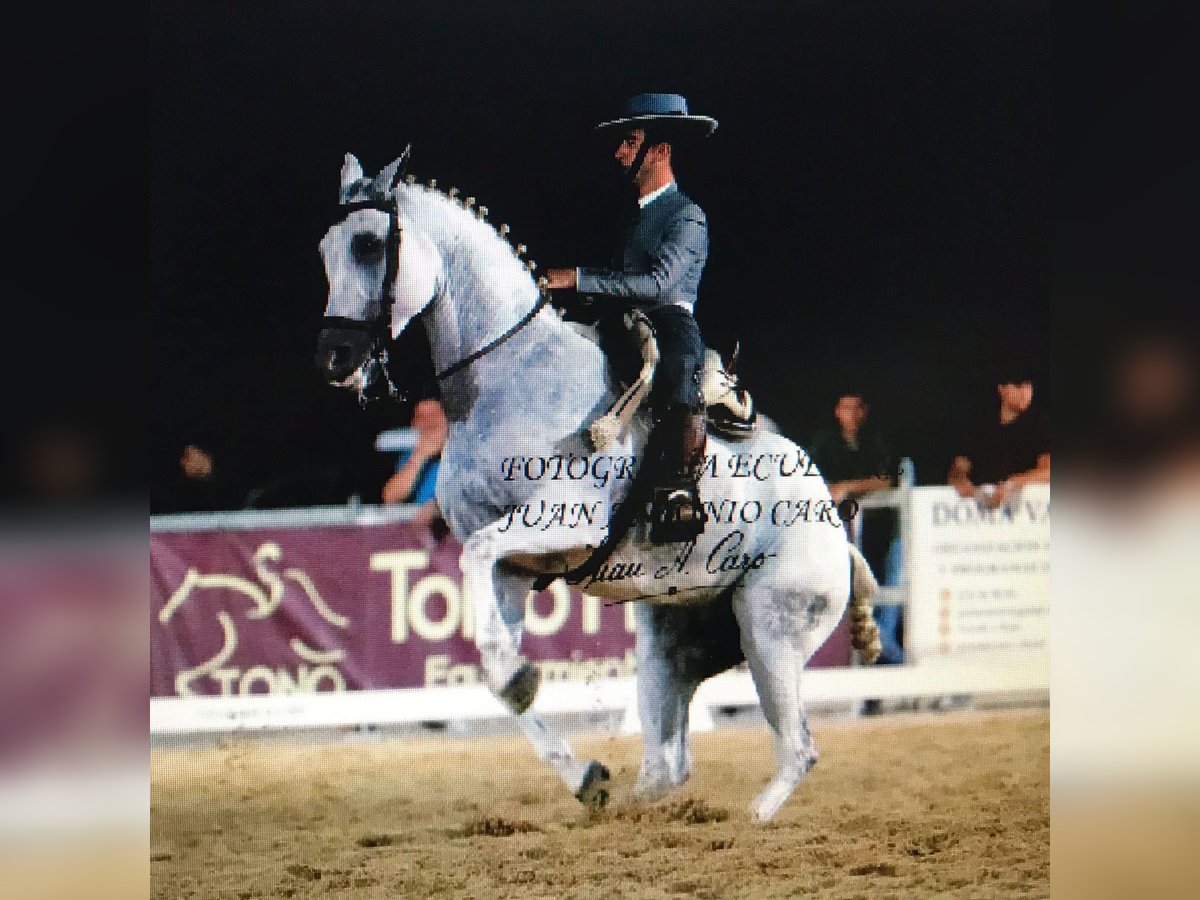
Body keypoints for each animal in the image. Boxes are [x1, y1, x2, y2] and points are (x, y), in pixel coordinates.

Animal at [316, 153, 883, 825]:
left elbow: (476, 557)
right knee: (669, 765)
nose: (335, 358)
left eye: (371, 244)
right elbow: (494, 660)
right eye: (325, 249)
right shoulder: (514, 570)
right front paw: (584, 773)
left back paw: (749, 822)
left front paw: (524, 682)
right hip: (671, 641)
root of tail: (833, 525)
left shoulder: (563, 525)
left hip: (769, 633)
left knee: (798, 749)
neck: (507, 380)